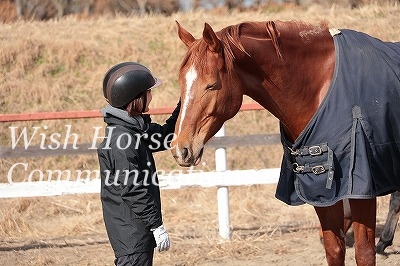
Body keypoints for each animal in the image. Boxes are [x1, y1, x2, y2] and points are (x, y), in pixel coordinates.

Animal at [172, 19, 400, 264]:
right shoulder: (319, 190)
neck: (321, 88)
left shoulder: (362, 192)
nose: (181, 149)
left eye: (212, 85)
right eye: (181, 84)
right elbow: (334, 250)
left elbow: (364, 253)